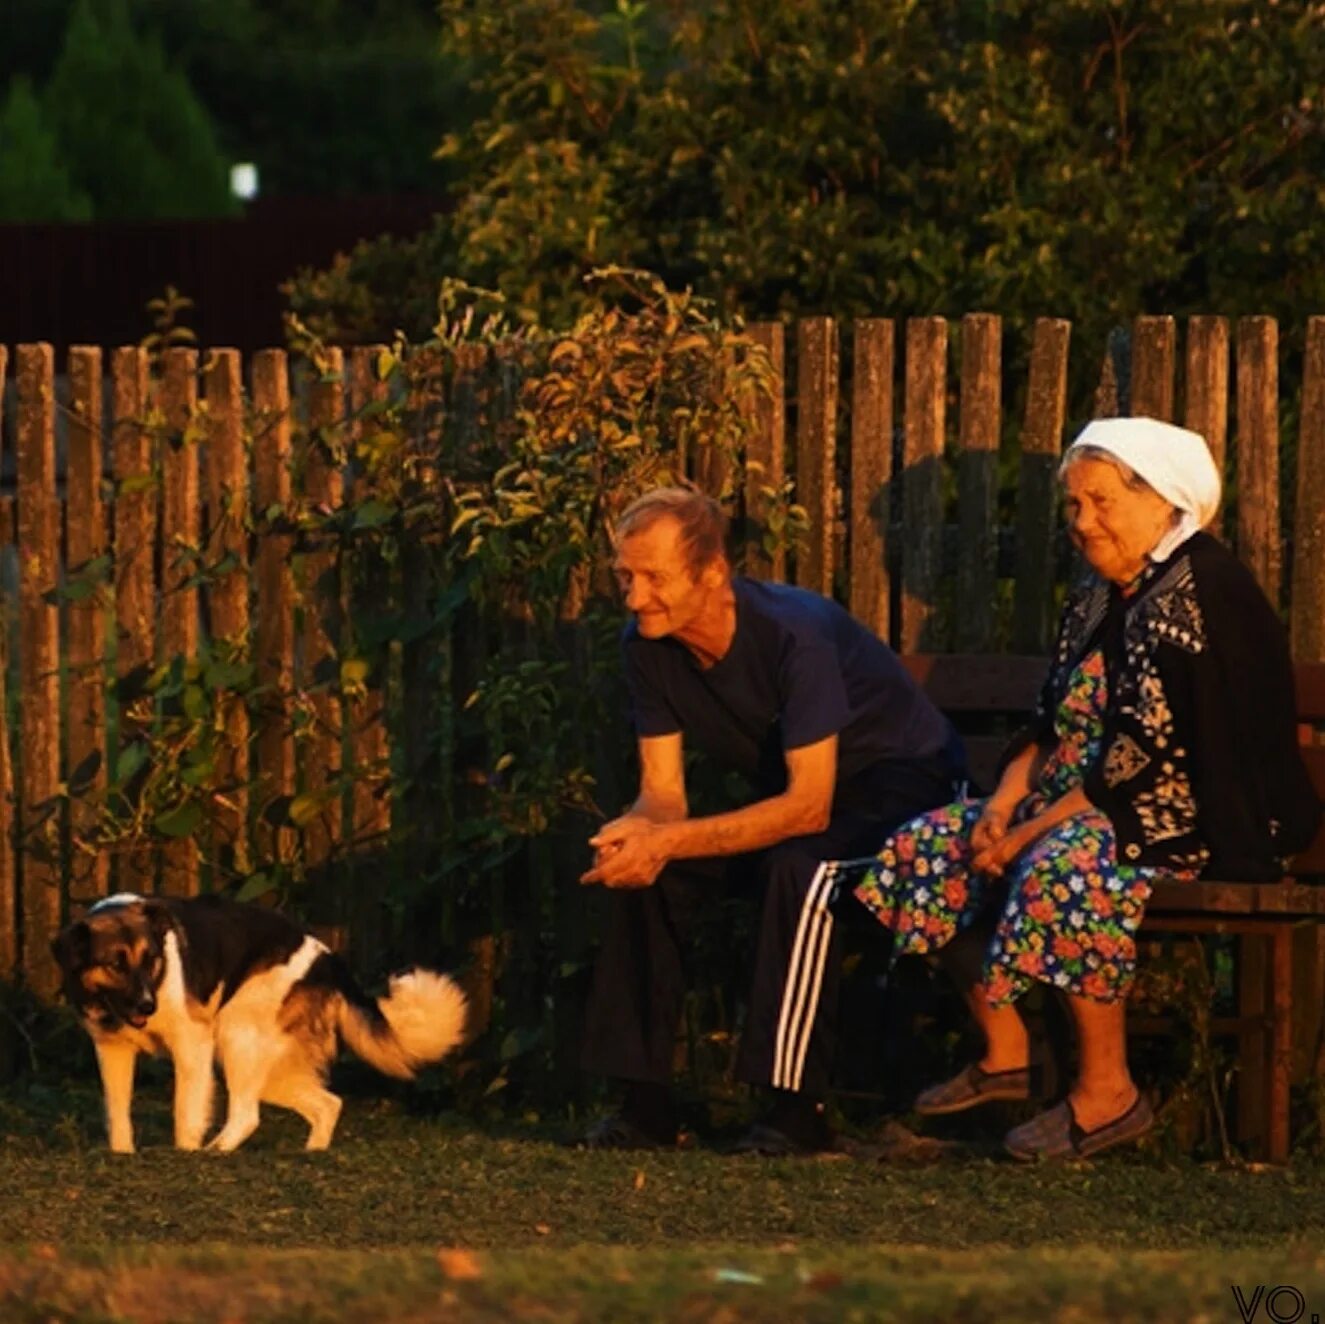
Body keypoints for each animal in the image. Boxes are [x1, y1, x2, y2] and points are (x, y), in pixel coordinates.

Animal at [54, 895, 469, 1155]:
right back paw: (313, 1152)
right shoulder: (112, 1051)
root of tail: (330, 959)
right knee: (327, 1104)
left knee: (246, 1115)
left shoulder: (192, 1044)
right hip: (267, 1067)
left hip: (235, 1035)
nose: (147, 1004)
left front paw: (184, 1153)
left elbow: (186, 1112)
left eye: (152, 959)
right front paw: (122, 1155)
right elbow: (117, 1114)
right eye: (116, 964)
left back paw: (214, 1153)